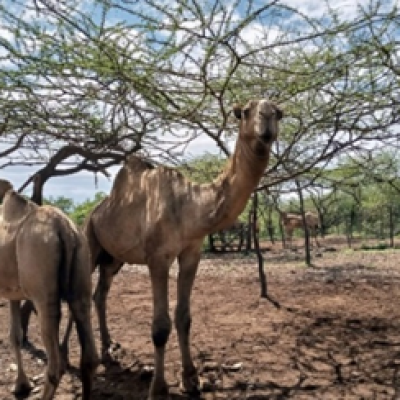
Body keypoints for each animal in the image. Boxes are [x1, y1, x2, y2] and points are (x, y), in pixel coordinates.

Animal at [0, 180, 99, 398]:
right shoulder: (13, 293)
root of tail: (65, 230)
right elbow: (15, 335)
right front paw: (21, 385)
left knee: (55, 364)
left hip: (42, 288)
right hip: (82, 264)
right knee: (89, 354)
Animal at [59, 97, 282, 400]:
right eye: (245, 112)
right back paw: (65, 357)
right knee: (79, 294)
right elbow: (160, 326)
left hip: (113, 258)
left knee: (100, 294)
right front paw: (159, 388)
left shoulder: (191, 253)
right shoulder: (158, 257)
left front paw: (191, 379)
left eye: (279, 113)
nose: (267, 117)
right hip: (89, 242)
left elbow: (184, 317)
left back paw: (108, 350)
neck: (188, 206)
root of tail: (92, 213)